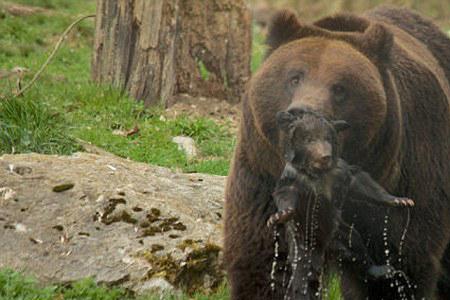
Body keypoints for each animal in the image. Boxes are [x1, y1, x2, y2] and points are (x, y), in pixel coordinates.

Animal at [225, 5, 450, 300]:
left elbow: (402, 258)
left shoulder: (409, 167)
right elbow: (264, 259)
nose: (300, 111)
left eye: (340, 88)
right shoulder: (260, 173)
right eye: (294, 77)